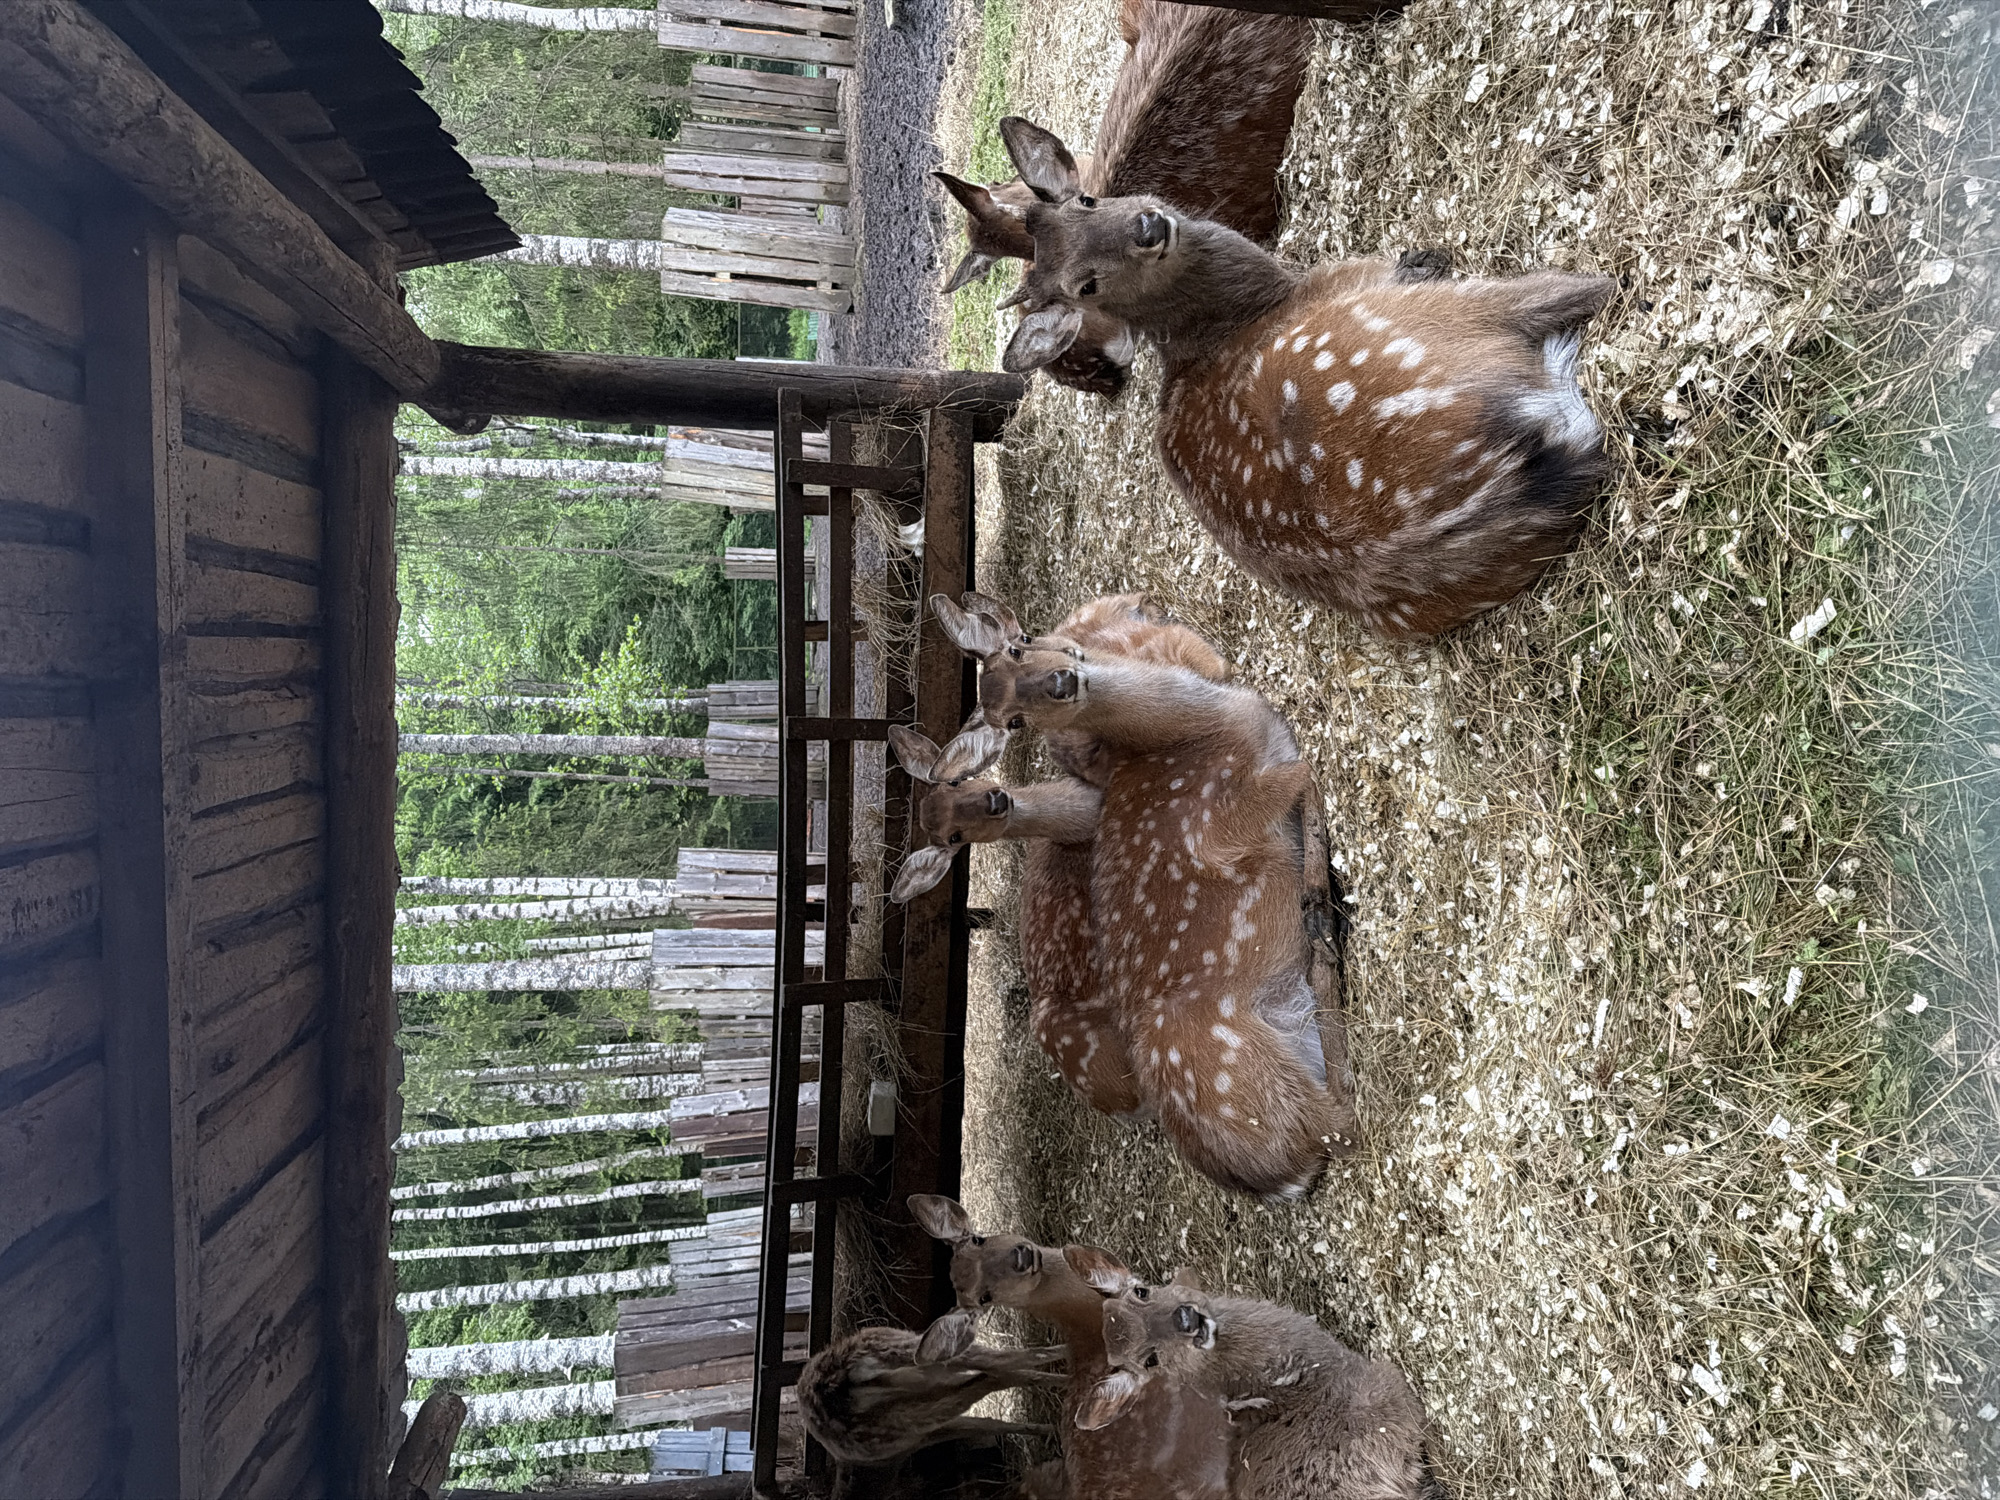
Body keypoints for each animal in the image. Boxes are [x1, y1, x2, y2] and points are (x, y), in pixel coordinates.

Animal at [797, 1324, 1068, 1469]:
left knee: (991, 1379)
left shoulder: (927, 1431)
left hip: (910, 1417)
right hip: (917, 1352)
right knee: (1003, 1365)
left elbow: (989, 1422)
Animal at [932, 593, 1361, 1200]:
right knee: (1344, 1124)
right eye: (1013, 722)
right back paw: (1323, 924)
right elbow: (1305, 774)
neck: (1201, 728)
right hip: (1221, 1056)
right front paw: (1318, 886)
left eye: (1020, 645)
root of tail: (1278, 1180)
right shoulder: (1223, 821)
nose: (1062, 681)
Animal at [991, 113, 1618, 639]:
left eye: (1088, 199)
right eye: (1086, 286)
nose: (1149, 225)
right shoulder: (1366, 279)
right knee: (1582, 287)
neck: (1249, 307)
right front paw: (1423, 256)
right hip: (1435, 321)